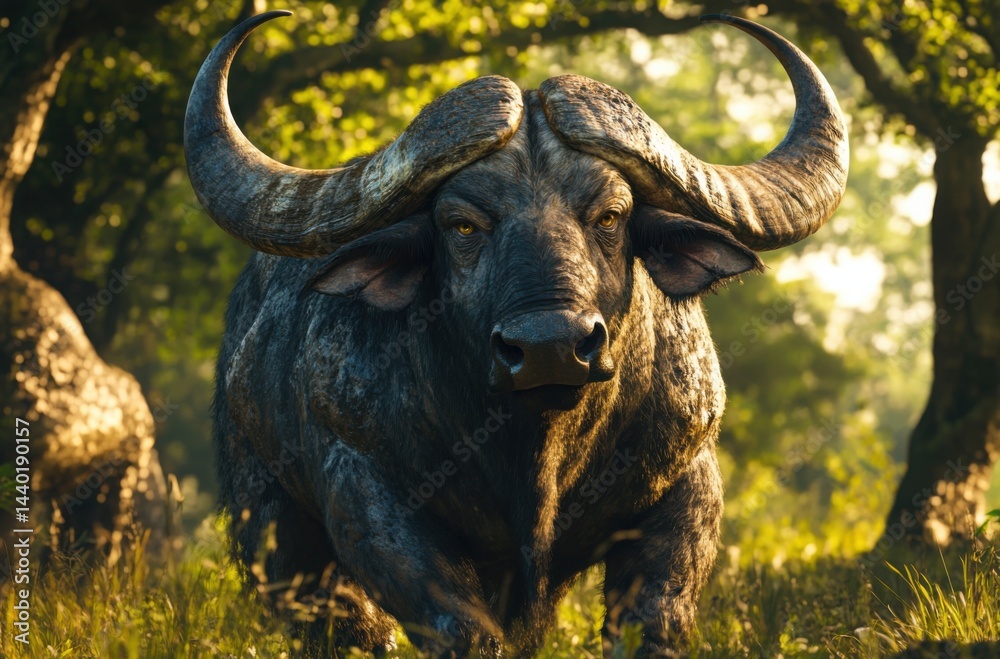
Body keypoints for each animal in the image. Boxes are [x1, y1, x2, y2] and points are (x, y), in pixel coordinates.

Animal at [185, 10, 847, 656]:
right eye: (462, 224)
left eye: (610, 215)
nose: (550, 346)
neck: (537, 453)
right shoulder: (370, 497)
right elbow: (458, 629)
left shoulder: (686, 485)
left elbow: (654, 622)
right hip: (271, 522)